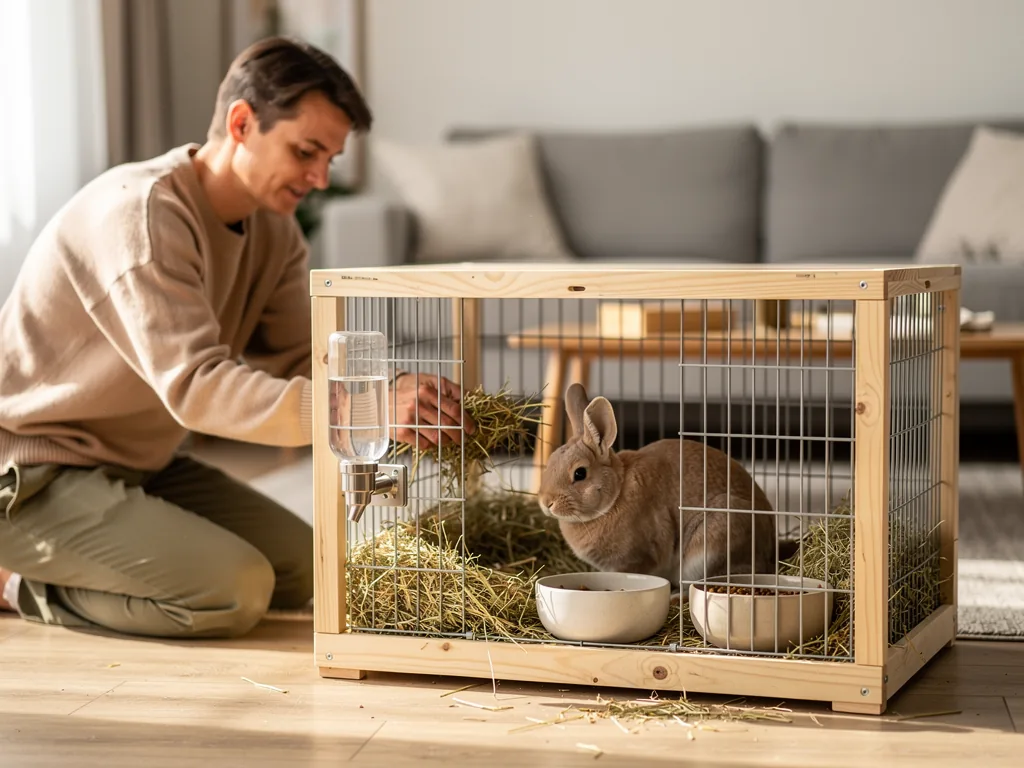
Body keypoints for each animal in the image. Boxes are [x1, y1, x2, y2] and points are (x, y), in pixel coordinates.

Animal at [537, 383, 778, 594]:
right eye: (550, 462)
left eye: (580, 473)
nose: (546, 502)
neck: (616, 495)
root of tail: (769, 549)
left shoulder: (638, 558)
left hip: (710, 547)